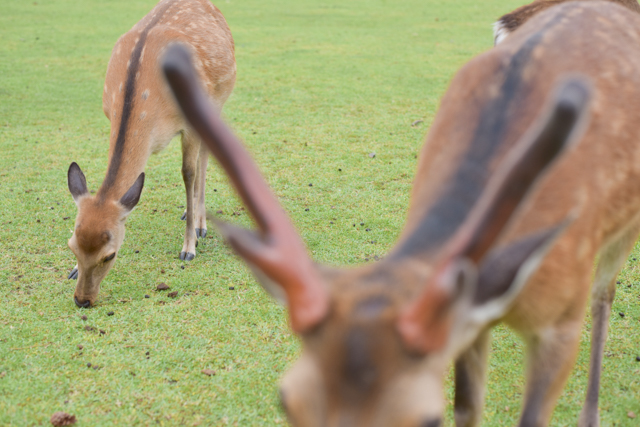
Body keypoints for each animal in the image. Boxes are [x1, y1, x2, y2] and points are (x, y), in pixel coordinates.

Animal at [65, 0, 235, 310]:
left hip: (216, 101)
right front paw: (70, 270)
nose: (82, 300)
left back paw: (201, 224)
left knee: (205, 157)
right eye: (72, 245)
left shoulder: (188, 123)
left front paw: (189, 247)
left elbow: (188, 173)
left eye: (110, 254)